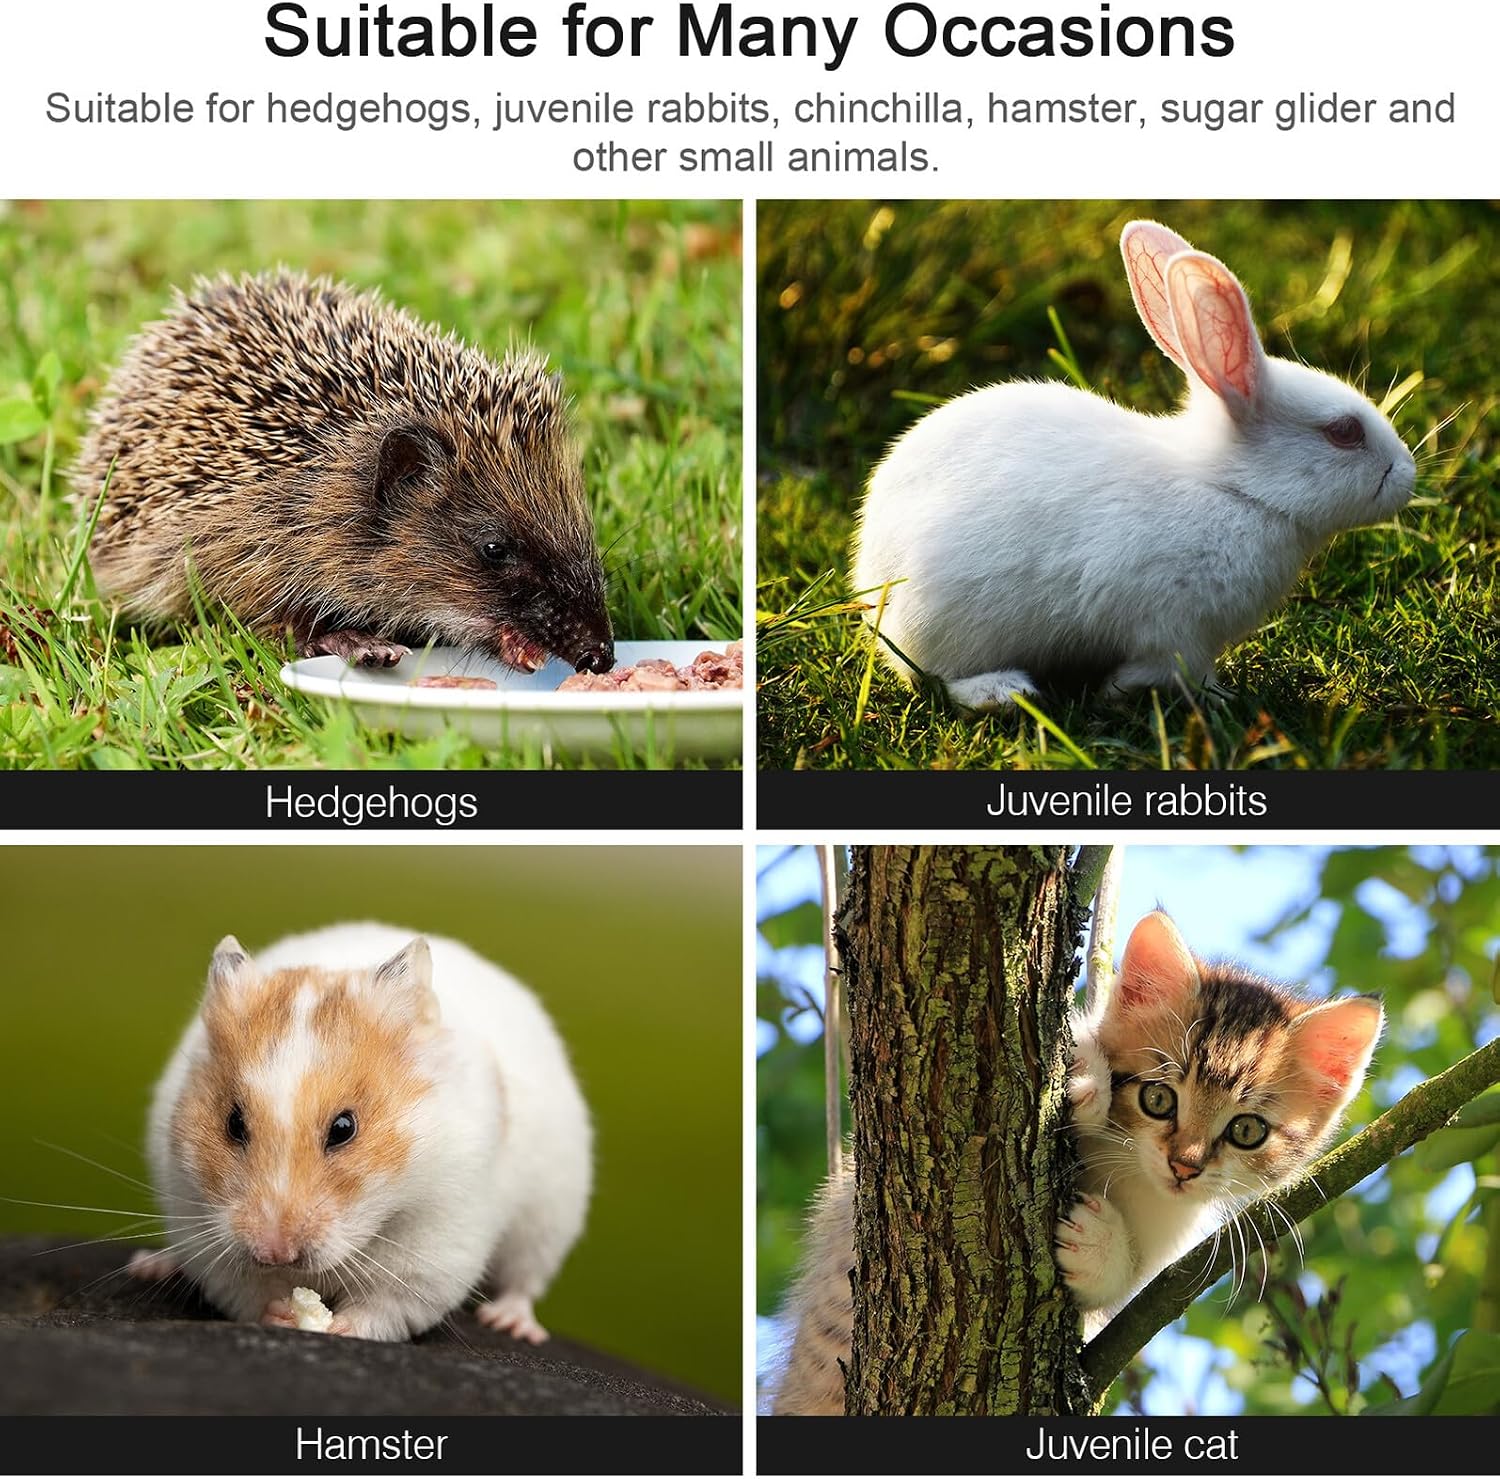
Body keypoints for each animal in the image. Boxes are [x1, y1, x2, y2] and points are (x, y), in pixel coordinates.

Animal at [128, 922, 591, 1343]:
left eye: (343, 1128)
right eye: (233, 1123)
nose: (275, 1253)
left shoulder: (435, 1244)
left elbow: (387, 1305)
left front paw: (338, 1327)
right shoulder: (201, 1225)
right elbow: (245, 1291)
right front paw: (283, 1313)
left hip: (549, 1218)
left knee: (524, 1280)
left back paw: (511, 1324)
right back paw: (151, 1265)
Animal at [850, 219, 1418, 711]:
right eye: (1344, 432)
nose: (1408, 475)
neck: (1233, 489)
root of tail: (871, 573)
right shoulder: (1175, 629)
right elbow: (1174, 669)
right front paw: (1186, 695)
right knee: (937, 676)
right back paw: (1003, 693)